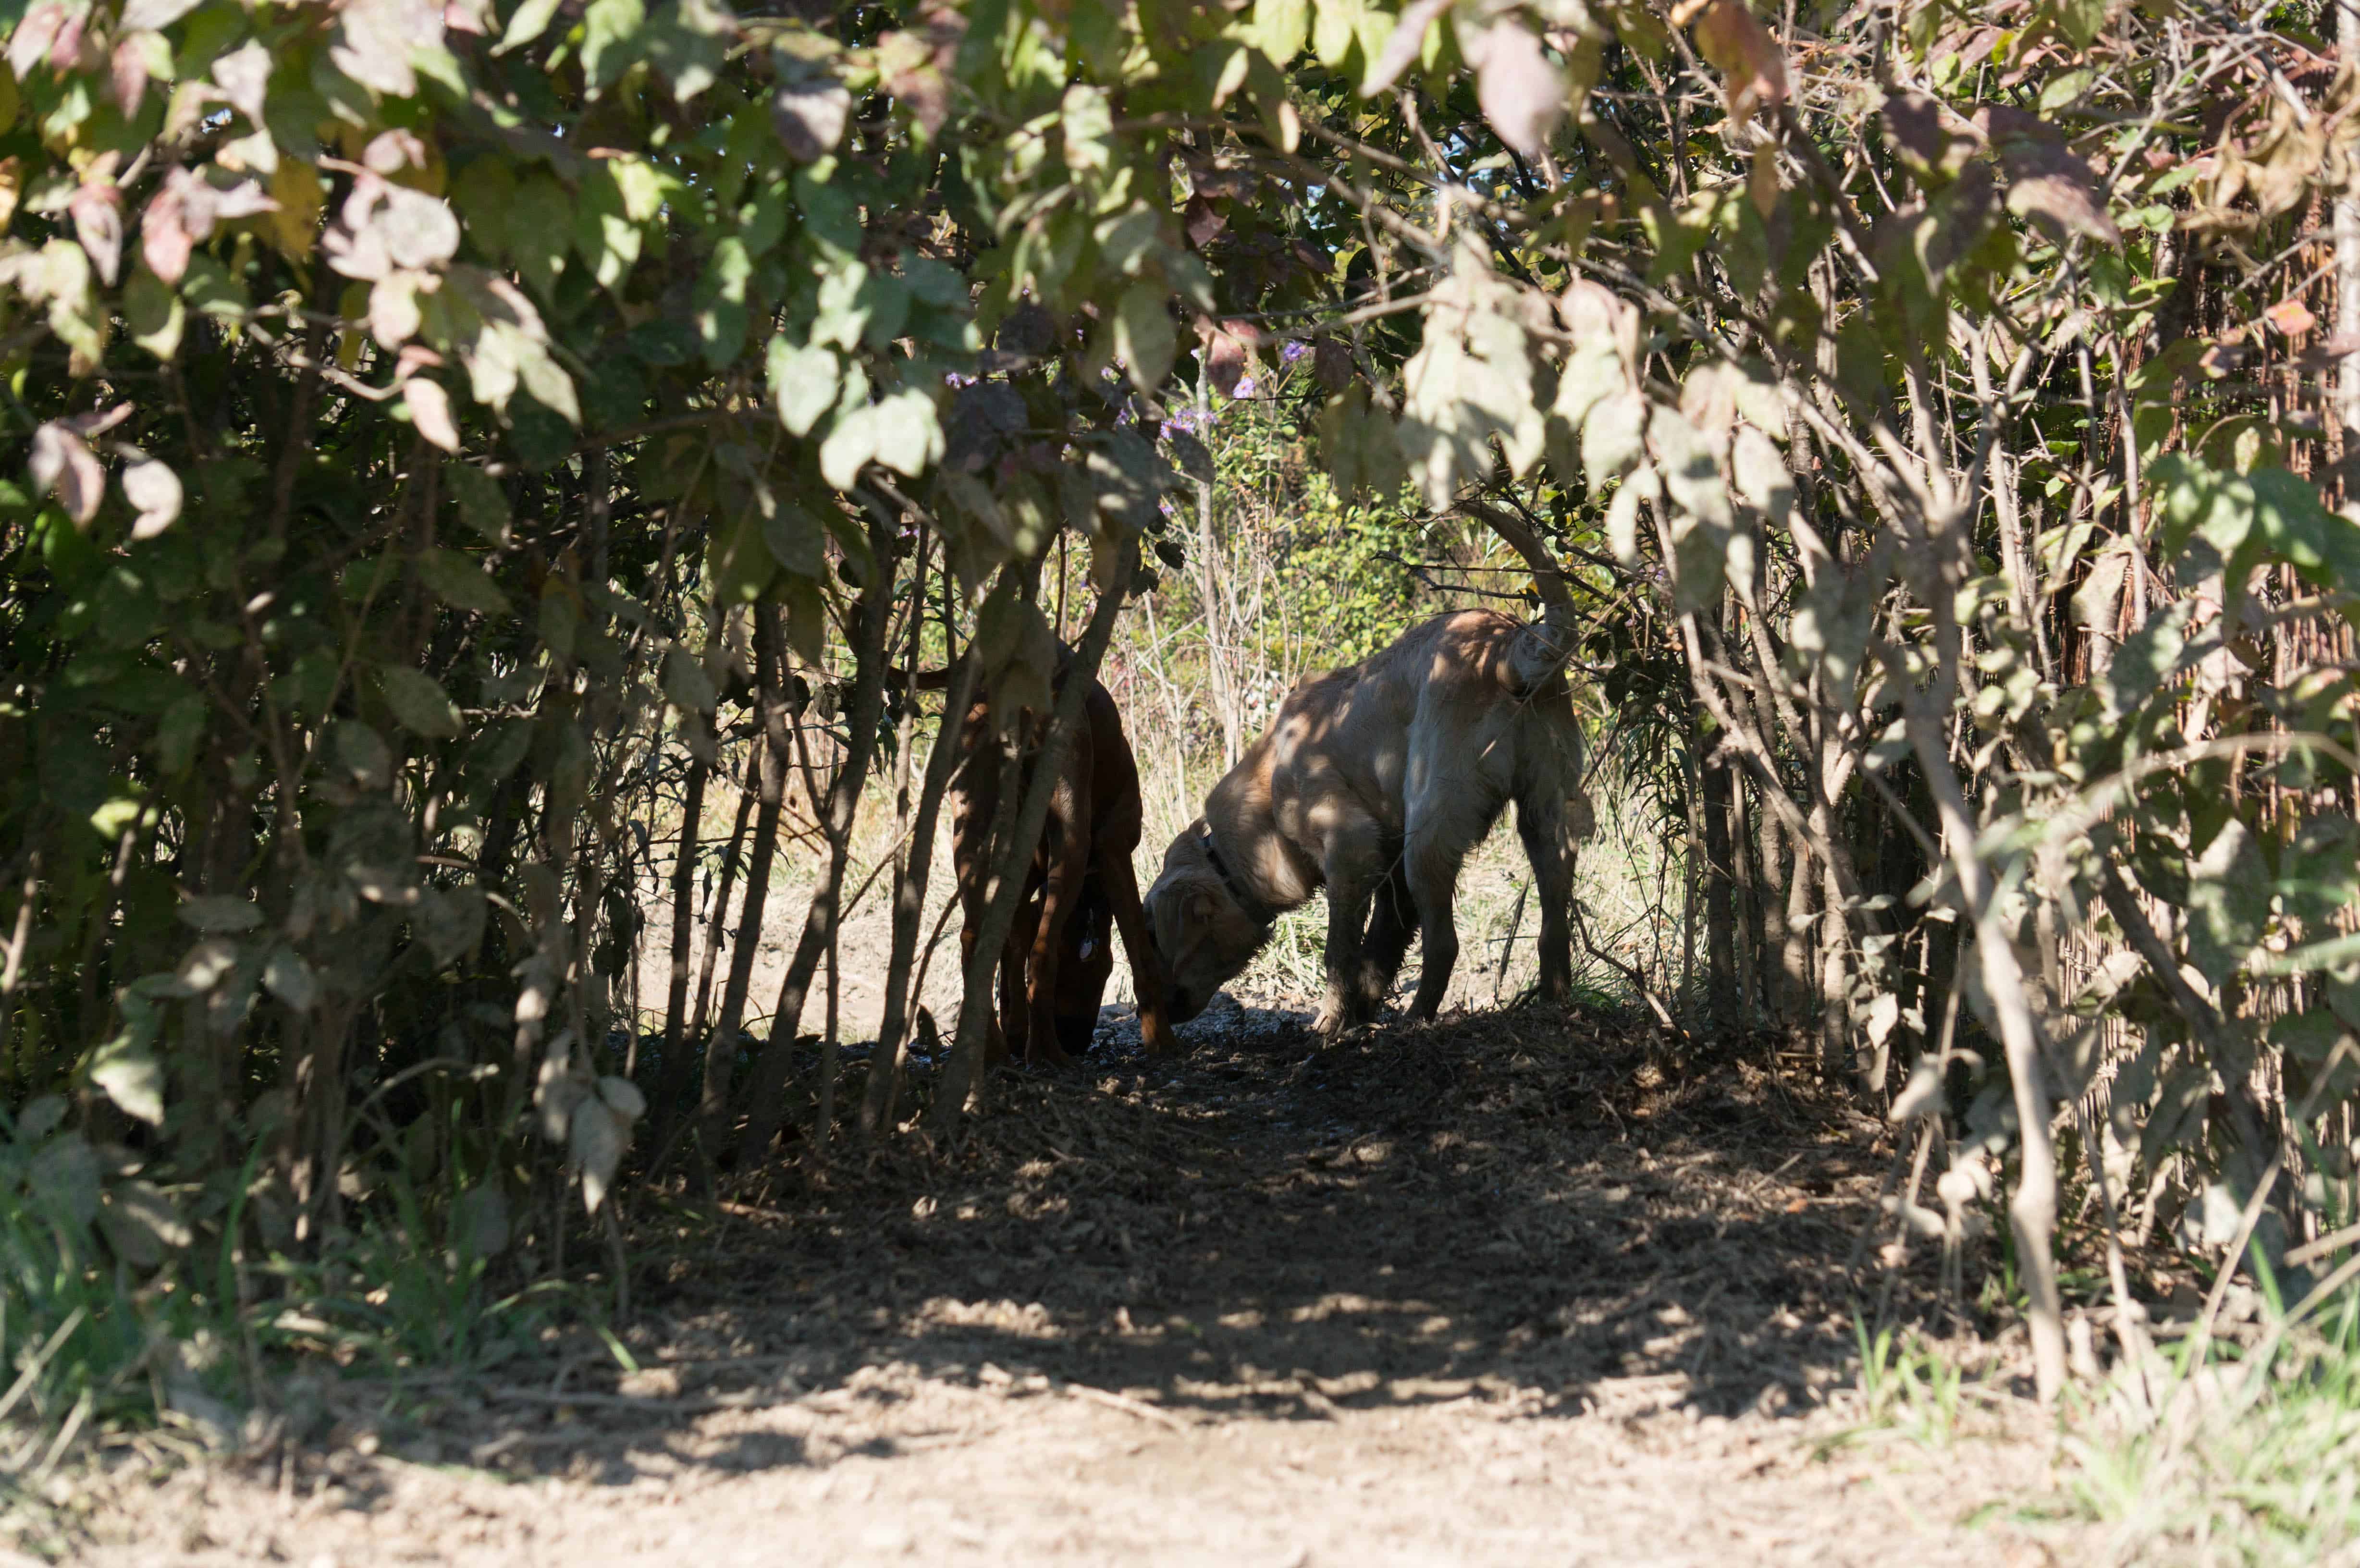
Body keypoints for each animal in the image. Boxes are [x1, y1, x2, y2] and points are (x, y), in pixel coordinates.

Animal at [930, 647, 1170, 1067]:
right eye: (1102, 970)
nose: (1077, 1039)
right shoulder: (1115, 849)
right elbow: (1141, 954)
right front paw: (1163, 1040)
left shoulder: (1022, 888)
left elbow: (1010, 957)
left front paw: (1013, 1033)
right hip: (1070, 826)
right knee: (1042, 957)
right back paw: (1047, 1053)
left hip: (970, 825)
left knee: (973, 939)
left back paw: (992, 1050)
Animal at [1137, 604, 1586, 1034]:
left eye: (1154, 938)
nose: (1154, 1013)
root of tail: (1505, 646)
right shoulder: (1391, 873)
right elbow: (1378, 953)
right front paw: (1362, 1013)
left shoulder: (1350, 849)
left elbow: (1340, 955)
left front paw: (1331, 1022)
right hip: (1547, 818)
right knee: (1554, 929)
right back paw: (1555, 1003)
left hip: (1427, 837)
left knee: (1445, 945)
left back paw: (1416, 1019)